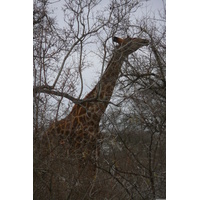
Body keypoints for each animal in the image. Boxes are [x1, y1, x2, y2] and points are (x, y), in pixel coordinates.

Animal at [42, 36, 148, 177]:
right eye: (129, 39)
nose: (145, 40)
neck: (96, 114)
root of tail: (44, 133)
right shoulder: (79, 149)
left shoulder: (95, 151)